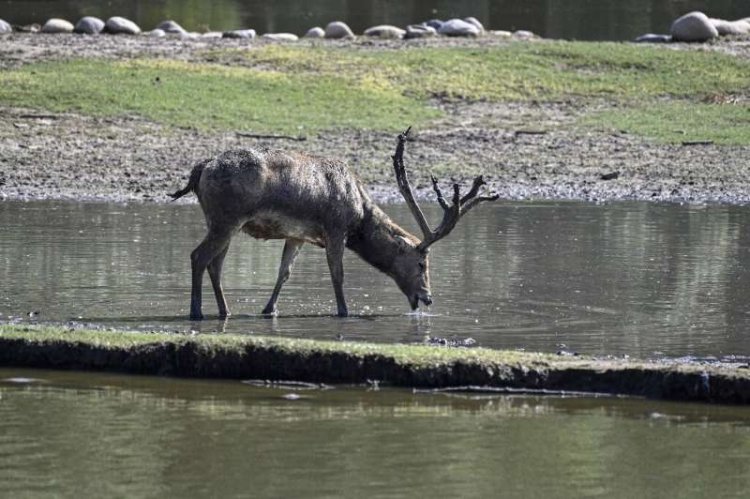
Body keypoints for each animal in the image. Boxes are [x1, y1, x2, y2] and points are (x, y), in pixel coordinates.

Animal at [170, 127, 500, 318]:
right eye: (421, 263)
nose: (427, 298)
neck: (359, 216)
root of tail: (200, 169)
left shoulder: (298, 235)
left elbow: (284, 273)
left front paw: (269, 309)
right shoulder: (335, 227)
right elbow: (337, 274)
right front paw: (344, 311)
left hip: (224, 222)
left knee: (215, 263)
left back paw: (225, 311)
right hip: (226, 218)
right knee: (198, 256)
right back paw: (196, 312)